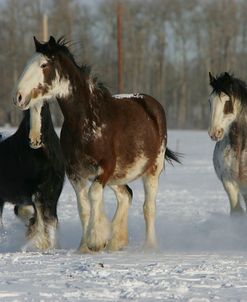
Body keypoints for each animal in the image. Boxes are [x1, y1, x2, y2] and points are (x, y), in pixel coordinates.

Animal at [0, 104, 64, 250]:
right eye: (25, 114)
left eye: (44, 109)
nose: (35, 141)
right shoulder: (35, 193)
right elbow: (38, 217)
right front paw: (40, 243)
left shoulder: (53, 193)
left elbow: (51, 219)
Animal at [13, 36, 179, 252]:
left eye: (44, 65)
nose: (19, 97)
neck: (87, 120)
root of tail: (151, 103)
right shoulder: (75, 173)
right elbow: (83, 207)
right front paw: (85, 247)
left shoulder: (104, 168)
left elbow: (93, 195)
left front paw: (95, 240)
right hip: (118, 176)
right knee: (126, 195)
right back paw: (116, 241)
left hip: (153, 169)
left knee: (148, 208)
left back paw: (149, 247)